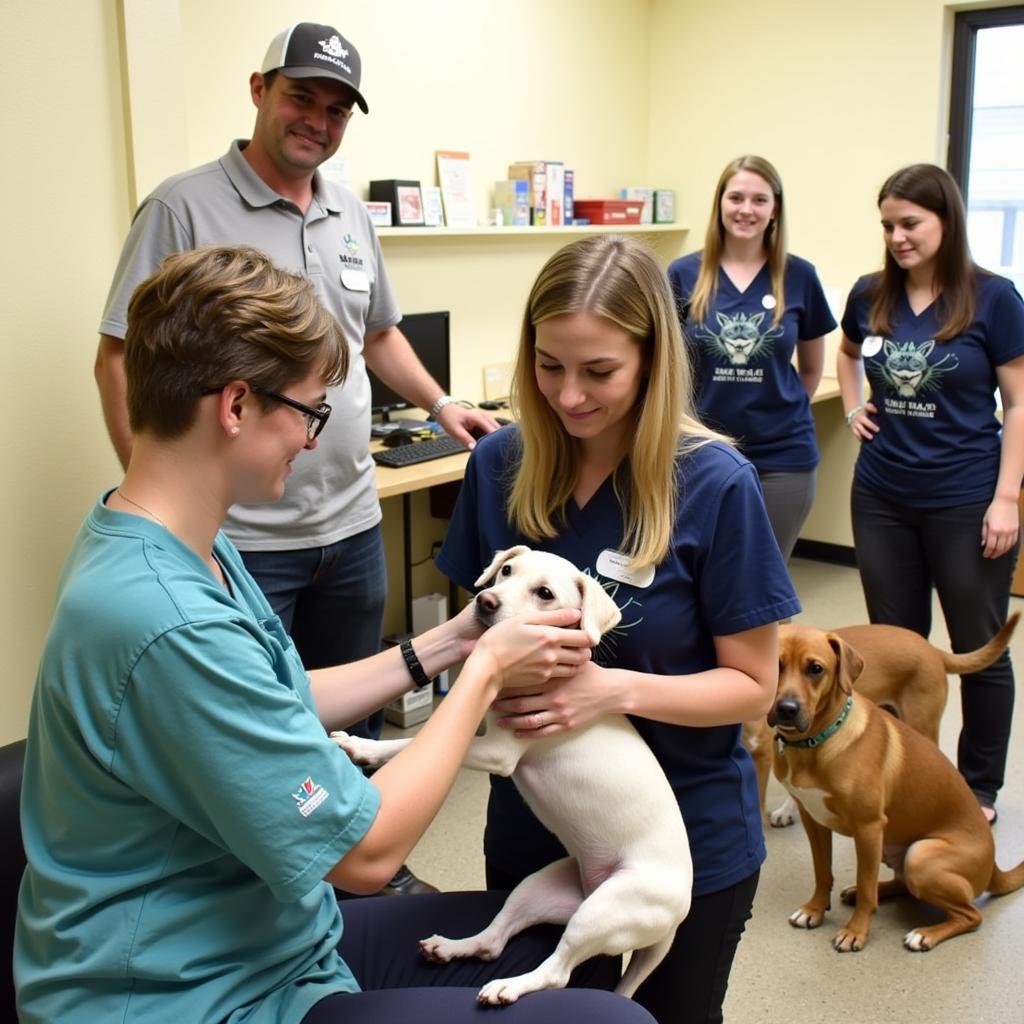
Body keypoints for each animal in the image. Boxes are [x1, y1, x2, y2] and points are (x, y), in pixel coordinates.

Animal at [331, 548, 692, 1003]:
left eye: (545, 594)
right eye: (506, 570)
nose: (486, 602)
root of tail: (676, 920)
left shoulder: (497, 751)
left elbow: (409, 744)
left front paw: (364, 749)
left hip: (603, 910)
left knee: (557, 972)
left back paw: (509, 986)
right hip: (539, 889)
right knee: (493, 942)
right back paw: (451, 947)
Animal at [770, 622, 1019, 950]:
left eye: (815, 669)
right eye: (774, 664)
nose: (787, 709)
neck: (818, 742)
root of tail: (994, 869)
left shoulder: (868, 827)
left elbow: (866, 886)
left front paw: (855, 932)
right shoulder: (815, 821)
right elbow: (823, 872)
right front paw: (814, 910)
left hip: (920, 855)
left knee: (971, 915)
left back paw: (925, 934)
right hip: (890, 846)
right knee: (902, 885)